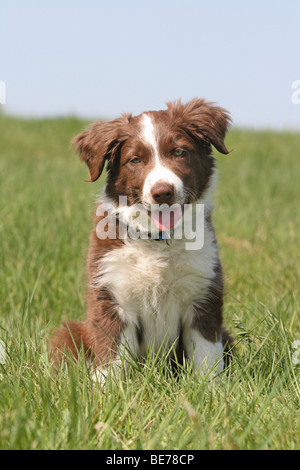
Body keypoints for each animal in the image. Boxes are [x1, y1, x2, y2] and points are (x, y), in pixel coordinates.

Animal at [49, 98, 232, 378]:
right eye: (135, 160)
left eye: (179, 152)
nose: (163, 192)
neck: (158, 241)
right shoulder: (111, 295)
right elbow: (111, 356)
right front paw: (105, 387)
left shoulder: (203, 294)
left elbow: (206, 356)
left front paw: (210, 386)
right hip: (70, 334)